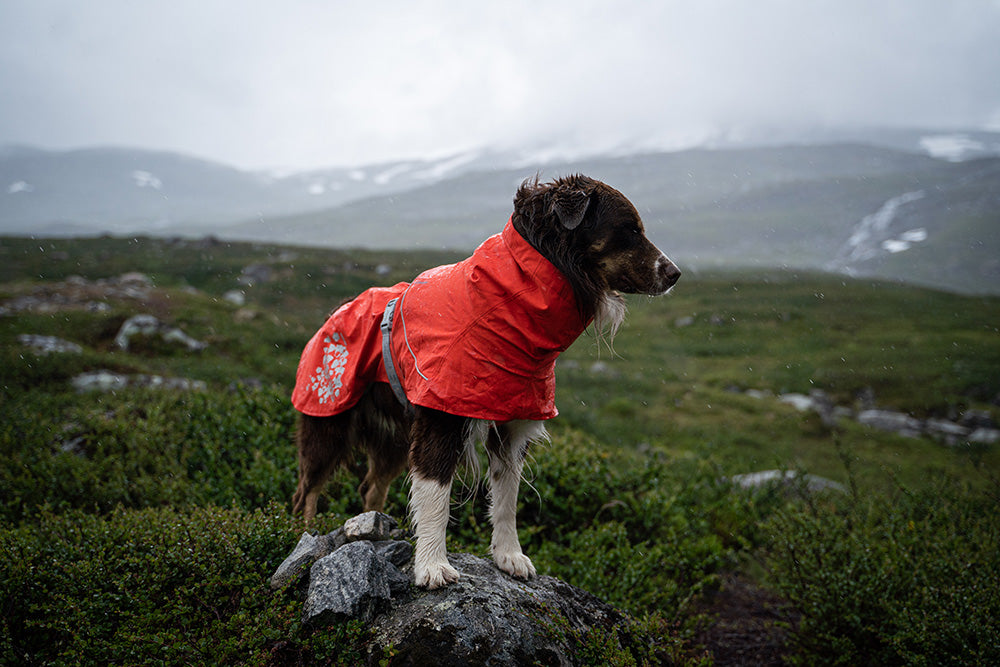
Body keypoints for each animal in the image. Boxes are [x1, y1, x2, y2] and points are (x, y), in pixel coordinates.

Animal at [290, 174, 680, 588]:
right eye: (629, 230)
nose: (675, 273)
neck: (506, 303)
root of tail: (338, 309)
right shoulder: (440, 420)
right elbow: (436, 500)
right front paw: (432, 565)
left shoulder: (512, 428)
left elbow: (507, 501)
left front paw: (509, 556)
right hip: (327, 418)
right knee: (307, 490)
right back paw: (301, 532)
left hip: (393, 437)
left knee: (370, 486)